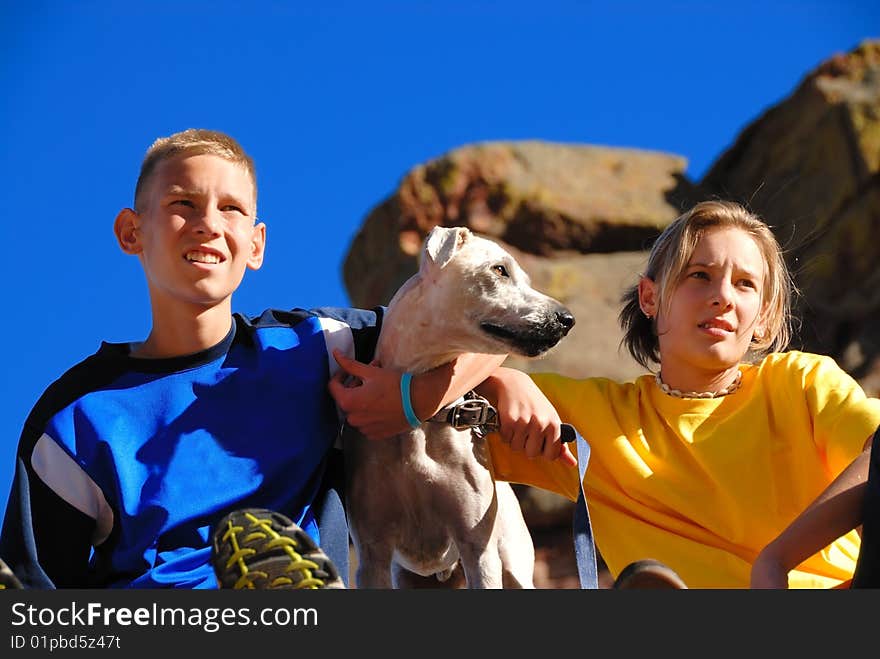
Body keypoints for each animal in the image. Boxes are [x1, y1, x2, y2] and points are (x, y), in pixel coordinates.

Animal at [344, 227, 576, 588]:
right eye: (499, 269)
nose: (567, 319)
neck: (420, 424)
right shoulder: (372, 554)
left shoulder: (477, 547)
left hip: (513, 563)